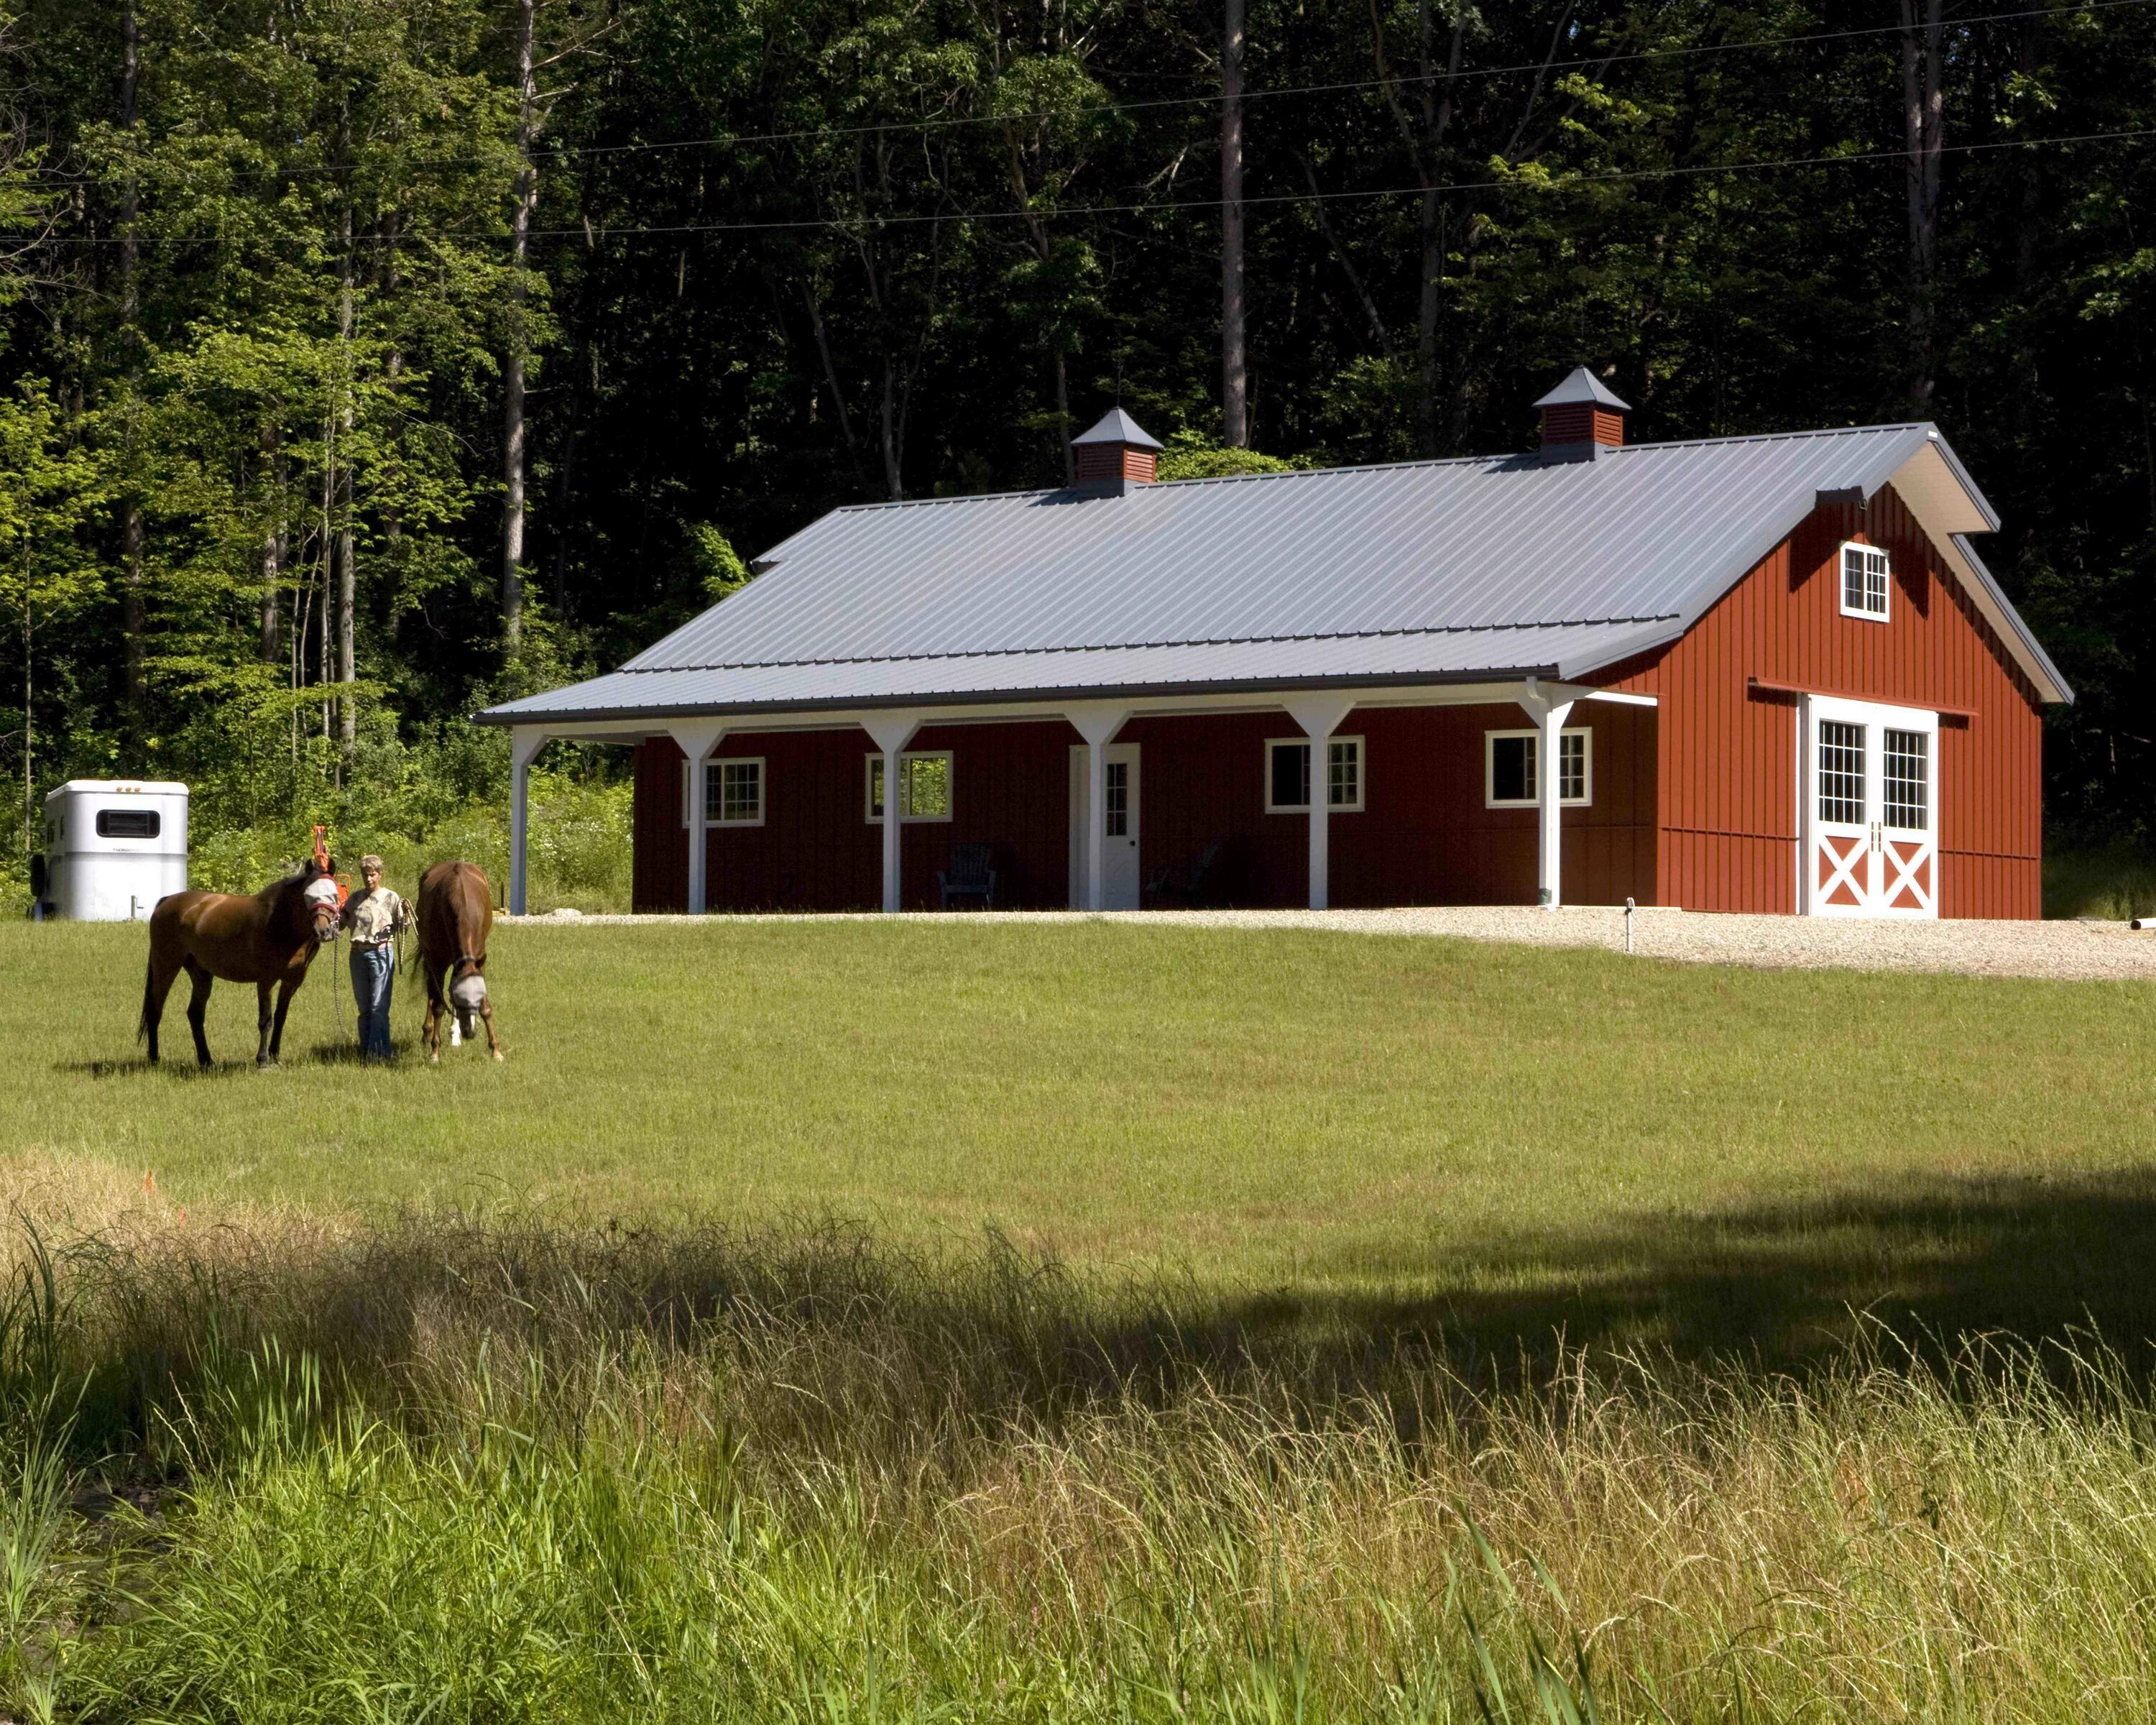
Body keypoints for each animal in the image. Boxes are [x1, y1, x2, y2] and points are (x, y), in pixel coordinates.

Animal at [143, 858, 343, 1065]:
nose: (323, 931)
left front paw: (275, 1056)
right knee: (155, 1009)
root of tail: (167, 902)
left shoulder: (293, 980)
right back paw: (154, 1058)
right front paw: (262, 1060)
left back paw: (206, 1060)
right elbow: (266, 1019)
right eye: (308, 895)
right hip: (166, 966)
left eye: (334, 894)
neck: (281, 922)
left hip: (201, 973)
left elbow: (281, 1017)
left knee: (195, 1013)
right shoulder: (266, 980)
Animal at [412, 854, 500, 1057]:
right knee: (432, 993)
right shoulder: (437, 962)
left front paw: (495, 1049)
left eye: (479, 995)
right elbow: (438, 1005)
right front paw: (435, 1050)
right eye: (460, 999)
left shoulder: (477, 960)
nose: (470, 1032)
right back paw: (429, 1031)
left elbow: (486, 1008)